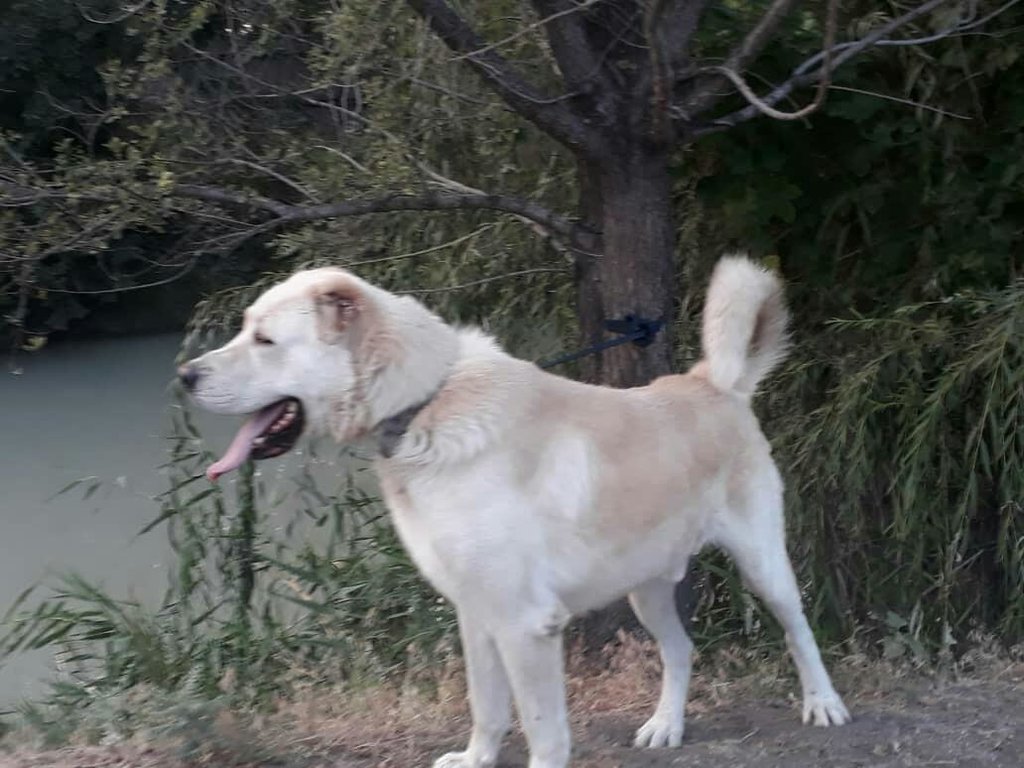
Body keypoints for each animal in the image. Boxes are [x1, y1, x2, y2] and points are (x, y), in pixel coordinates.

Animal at [182, 259, 847, 768]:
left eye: (265, 341)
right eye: (244, 329)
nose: (185, 374)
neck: (425, 405)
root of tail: (714, 383)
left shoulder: (526, 624)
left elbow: (542, 726)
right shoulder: (476, 612)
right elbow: (488, 706)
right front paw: (476, 760)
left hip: (763, 564)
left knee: (798, 631)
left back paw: (823, 703)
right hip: (646, 589)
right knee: (681, 650)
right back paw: (666, 726)